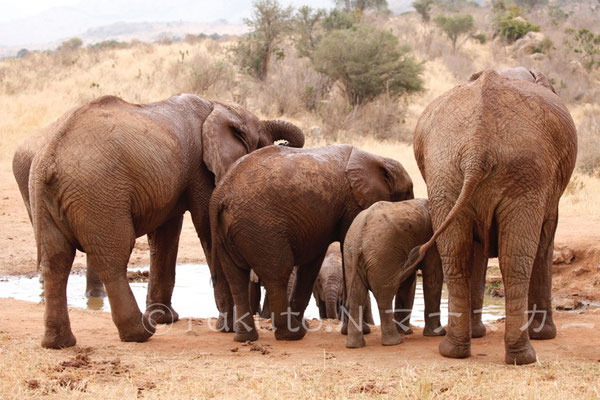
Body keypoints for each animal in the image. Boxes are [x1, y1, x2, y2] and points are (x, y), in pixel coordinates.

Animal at [16, 93, 304, 346]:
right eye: (263, 142)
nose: (285, 147)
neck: (218, 105)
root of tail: (50, 160)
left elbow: (165, 235)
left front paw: (166, 317)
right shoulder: (200, 170)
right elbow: (206, 229)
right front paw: (229, 327)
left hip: (42, 196)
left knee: (55, 261)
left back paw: (58, 343)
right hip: (98, 193)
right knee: (112, 257)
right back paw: (141, 333)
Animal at [209, 142, 414, 342]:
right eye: (406, 193)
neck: (378, 159)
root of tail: (219, 196)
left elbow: (313, 261)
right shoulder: (352, 204)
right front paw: (360, 331)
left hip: (226, 233)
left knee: (236, 278)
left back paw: (246, 338)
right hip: (261, 227)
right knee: (278, 274)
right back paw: (291, 335)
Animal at [342, 199, 446, 346]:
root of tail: (359, 238)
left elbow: (409, 282)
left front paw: (406, 332)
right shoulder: (431, 234)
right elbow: (433, 275)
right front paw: (438, 334)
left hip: (350, 256)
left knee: (357, 297)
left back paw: (354, 345)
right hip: (382, 254)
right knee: (384, 296)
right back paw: (394, 342)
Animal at [406, 68, 580, 366]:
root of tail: (477, 146)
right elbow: (545, 240)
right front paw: (545, 336)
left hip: (447, 174)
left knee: (457, 256)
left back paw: (455, 351)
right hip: (523, 175)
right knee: (516, 259)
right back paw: (524, 354)